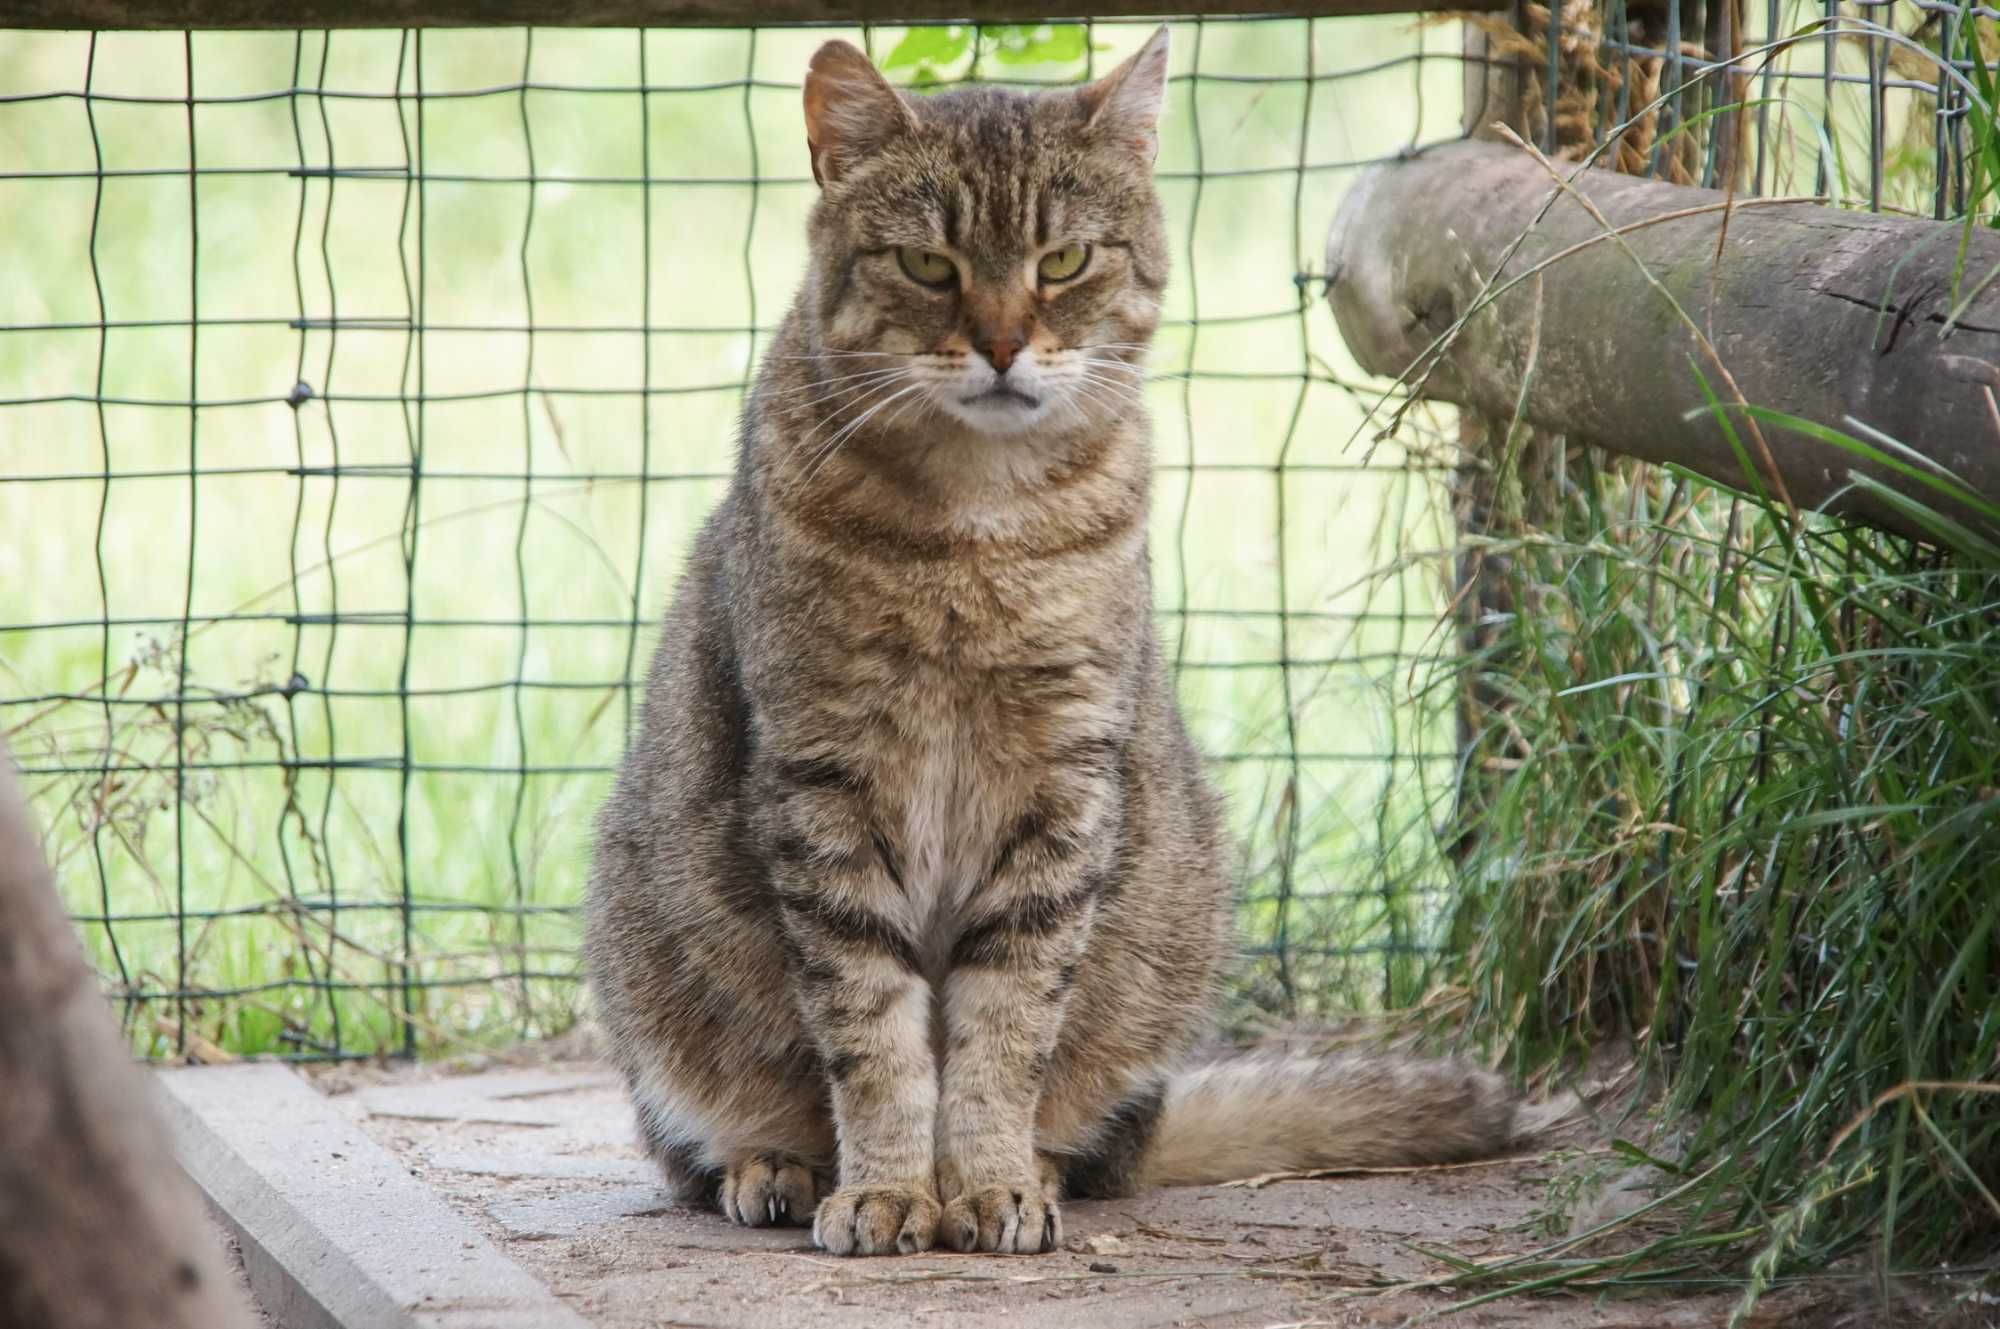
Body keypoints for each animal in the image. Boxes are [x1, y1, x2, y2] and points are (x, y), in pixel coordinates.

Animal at [584, 28, 1520, 1256]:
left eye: (1065, 260)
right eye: (929, 266)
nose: (999, 344)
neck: (976, 526)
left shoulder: (1062, 777)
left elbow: (1003, 1026)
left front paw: (983, 1180)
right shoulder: (824, 775)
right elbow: (872, 1029)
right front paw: (890, 1186)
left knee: (1085, 1133)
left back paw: (1032, 1164)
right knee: (712, 1131)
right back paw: (774, 1164)